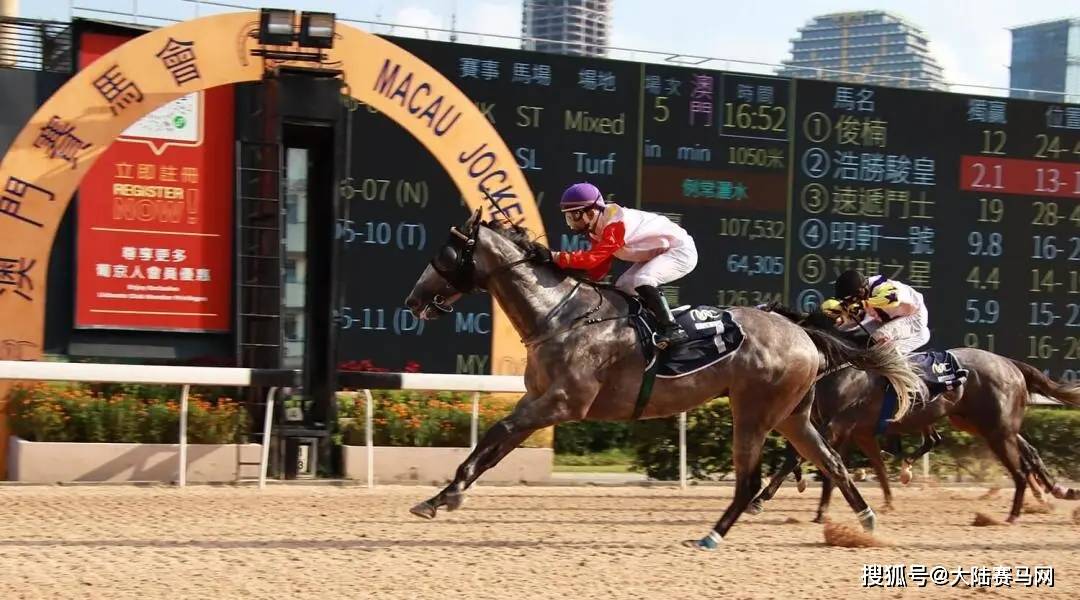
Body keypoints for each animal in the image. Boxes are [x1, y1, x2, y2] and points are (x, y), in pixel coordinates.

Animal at [406, 212, 920, 548]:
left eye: (445, 253)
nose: (413, 299)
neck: (561, 315)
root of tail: (801, 331)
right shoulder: (537, 399)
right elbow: (494, 447)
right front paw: (443, 496)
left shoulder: (562, 402)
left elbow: (498, 433)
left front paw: (443, 496)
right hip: (793, 415)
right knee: (831, 461)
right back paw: (867, 523)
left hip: (754, 411)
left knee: (751, 480)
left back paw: (712, 535)